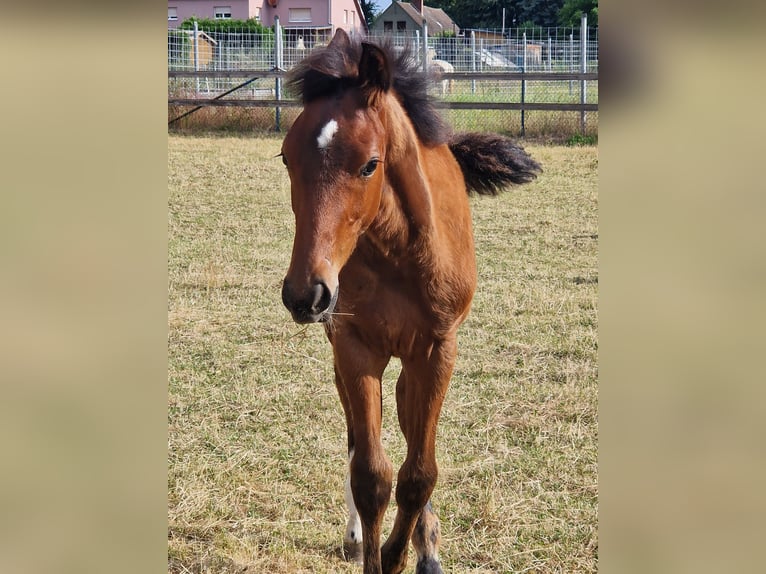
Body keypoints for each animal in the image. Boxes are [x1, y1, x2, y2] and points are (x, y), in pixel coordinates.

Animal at [279, 29, 541, 574]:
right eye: (287, 158)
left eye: (369, 164)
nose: (305, 294)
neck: (398, 251)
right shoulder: (355, 349)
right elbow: (371, 475)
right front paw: (375, 551)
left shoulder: (437, 351)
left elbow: (419, 472)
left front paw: (411, 551)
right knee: (358, 438)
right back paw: (358, 533)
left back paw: (427, 542)